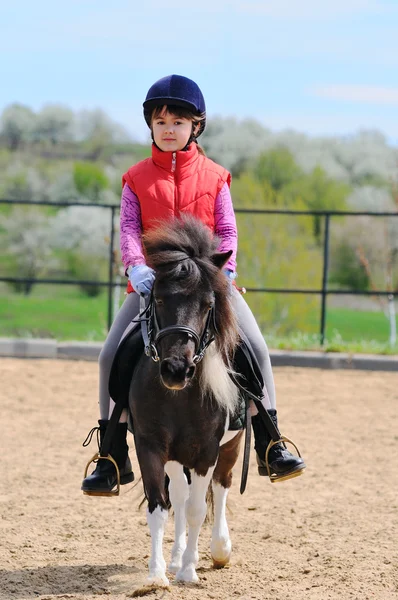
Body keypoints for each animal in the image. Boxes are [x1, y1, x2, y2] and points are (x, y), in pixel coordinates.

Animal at [129, 216, 244, 584]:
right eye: (158, 299)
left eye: (208, 304)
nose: (176, 370)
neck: (179, 397)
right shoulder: (151, 444)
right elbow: (159, 506)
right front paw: (157, 574)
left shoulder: (206, 450)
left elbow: (197, 508)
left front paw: (190, 571)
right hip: (176, 455)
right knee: (179, 494)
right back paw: (177, 556)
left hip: (230, 446)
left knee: (221, 486)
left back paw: (218, 549)